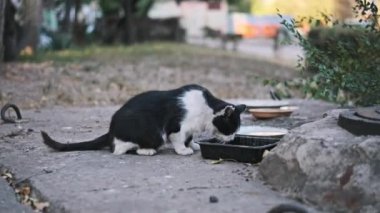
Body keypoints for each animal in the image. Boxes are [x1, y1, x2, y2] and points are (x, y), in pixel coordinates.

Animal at [41, 84, 248, 156]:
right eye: (231, 129)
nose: (232, 139)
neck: (206, 108)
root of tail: (110, 130)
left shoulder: (190, 129)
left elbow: (189, 137)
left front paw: (193, 144)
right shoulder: (177, 126)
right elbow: (178, 138)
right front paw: (182, 150)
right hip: (151, 133)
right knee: (119, 149)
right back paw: (145, 150)